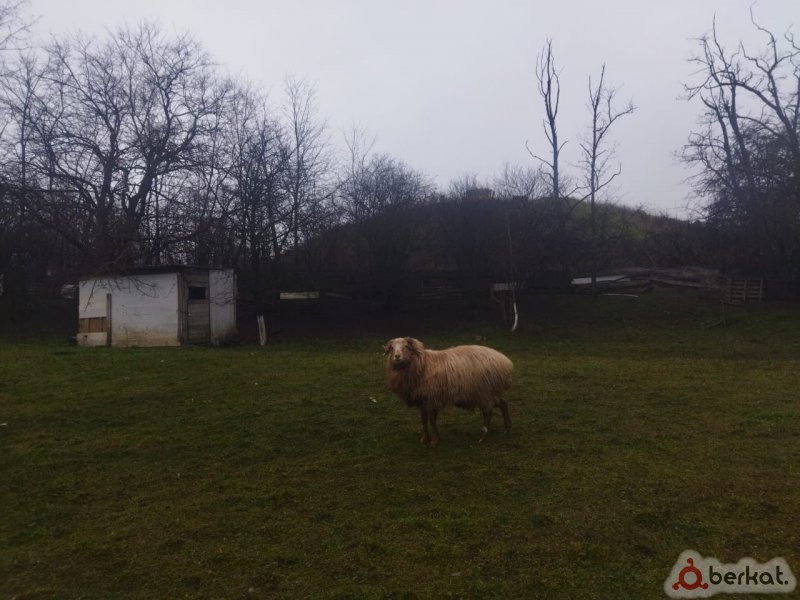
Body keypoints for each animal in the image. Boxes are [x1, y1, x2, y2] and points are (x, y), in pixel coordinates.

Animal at [383, 337, 513, 445]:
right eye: (392, 348)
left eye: (406, 346)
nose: (397, 356)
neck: (423, 365)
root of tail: (505, 362)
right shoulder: (423, 401)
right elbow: (423, 420)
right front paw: (424, 439)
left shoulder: (432, 399)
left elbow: (432, 420)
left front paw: (435, 440)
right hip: (490, 392)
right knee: (503, 403)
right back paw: (507, 429)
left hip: (484, 392)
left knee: (488, 412)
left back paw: (483, 436)